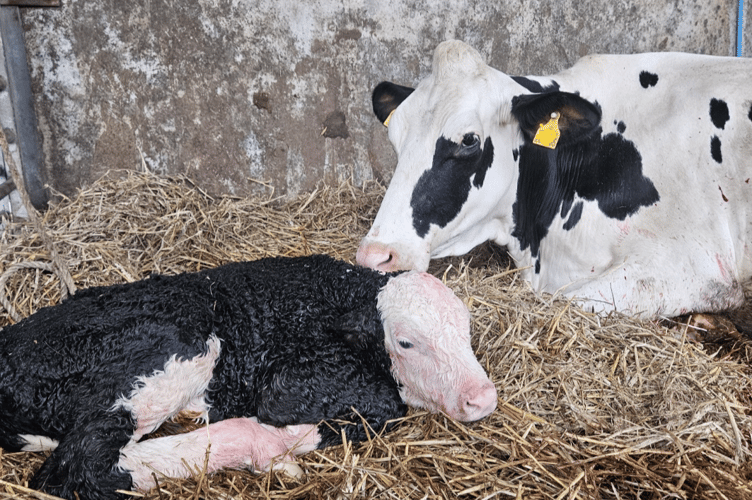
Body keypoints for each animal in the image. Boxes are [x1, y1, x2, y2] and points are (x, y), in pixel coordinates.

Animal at [0, 254, 497, 500]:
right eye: (407, 342)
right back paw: (264, 445)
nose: (483, 398)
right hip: (180, 342)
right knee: (76, 469)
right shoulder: (287, 385)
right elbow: (384, 406)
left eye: (467, 330)